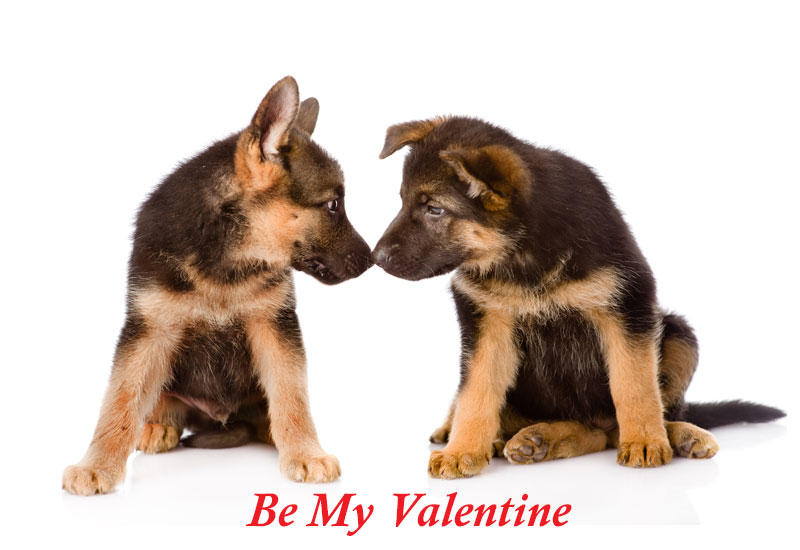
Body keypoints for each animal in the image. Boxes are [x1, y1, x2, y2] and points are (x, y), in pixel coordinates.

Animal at [62, 76, 372, 496]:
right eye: (332, 205)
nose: (372, 260)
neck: (226, 262)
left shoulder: (275, 325)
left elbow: (291, 394)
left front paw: (305, 452)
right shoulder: (149, 329)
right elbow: (120, 398)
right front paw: (97, 465)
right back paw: (157, 426)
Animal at [372, 115, 784, 478]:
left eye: (434, 208)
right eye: (403, 200)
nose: (375, 258)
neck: (523, 253)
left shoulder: (628, 303)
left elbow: (634, 384)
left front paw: (645, 440)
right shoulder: (486, 323)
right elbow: (475, 393)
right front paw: (462, 451)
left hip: (678, 334)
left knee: (614, 427)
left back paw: (675, 435)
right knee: (587, 431)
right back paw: (526, 437)